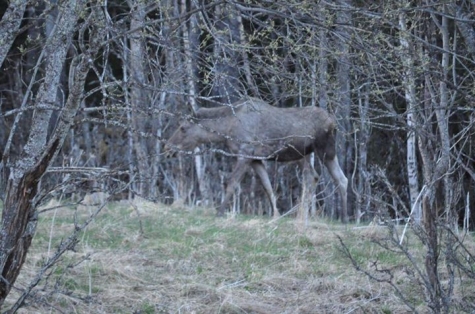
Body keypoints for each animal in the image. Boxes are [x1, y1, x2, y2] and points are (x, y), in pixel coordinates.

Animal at [165, 97, 350, 222]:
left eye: (183, 128)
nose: (167, 148)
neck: (226, 128)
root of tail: (334, 122)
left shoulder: (245, 153)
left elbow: (231, 182)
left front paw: (220, 212)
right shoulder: (255, 159)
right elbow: (267, 186)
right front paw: (276, 214)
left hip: (325, 149)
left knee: (338, 178)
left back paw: (343, 217)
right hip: (304, 155)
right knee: (318, 177)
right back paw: (306, 214)